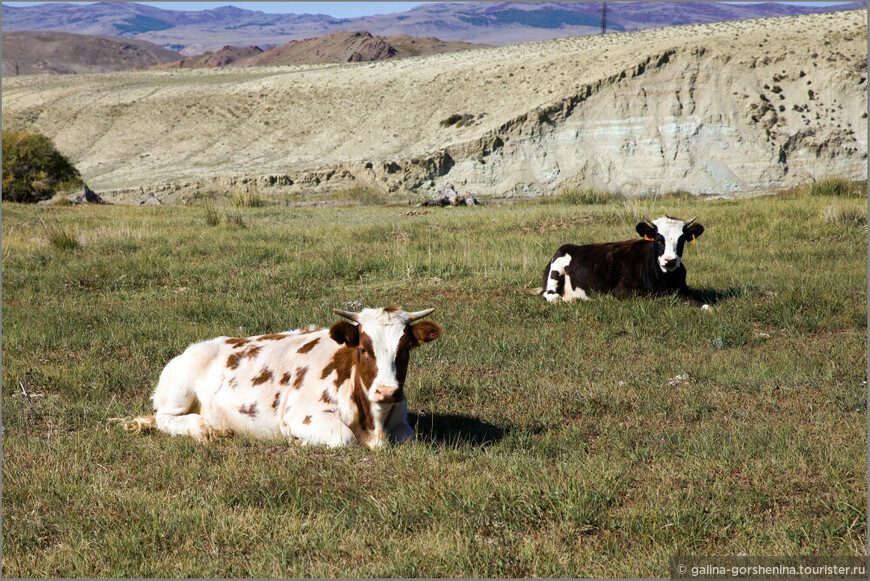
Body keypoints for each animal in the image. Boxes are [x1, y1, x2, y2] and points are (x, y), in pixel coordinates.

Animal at [114, 308, 442, 448]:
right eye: (363, 348)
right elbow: (344, 438)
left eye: (405, 349)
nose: (387, 392)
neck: (374, 422)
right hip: (177, 392)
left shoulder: (401, 425)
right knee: (164, 418)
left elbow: (407, 438)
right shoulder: (301, 416)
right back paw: (204, 428)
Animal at [532, 215, 708, 308]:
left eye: (681, 240)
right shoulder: (621, 291)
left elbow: (704, 305)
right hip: (557, 267)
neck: (665, 280)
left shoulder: (683, 289)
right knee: (550, 295)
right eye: (658, 240)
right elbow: (652, 297)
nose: (670, 261)